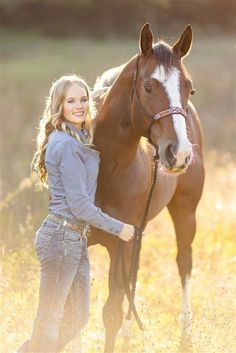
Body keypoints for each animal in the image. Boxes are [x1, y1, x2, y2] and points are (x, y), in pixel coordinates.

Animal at [88, 23, 205, 350]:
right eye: (148, 87)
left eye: (189, 88)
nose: (179, 153)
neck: (106, 169)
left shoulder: (121, 245)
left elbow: (111, 313)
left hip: (185, 213)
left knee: (184, 263)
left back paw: (185, 331)